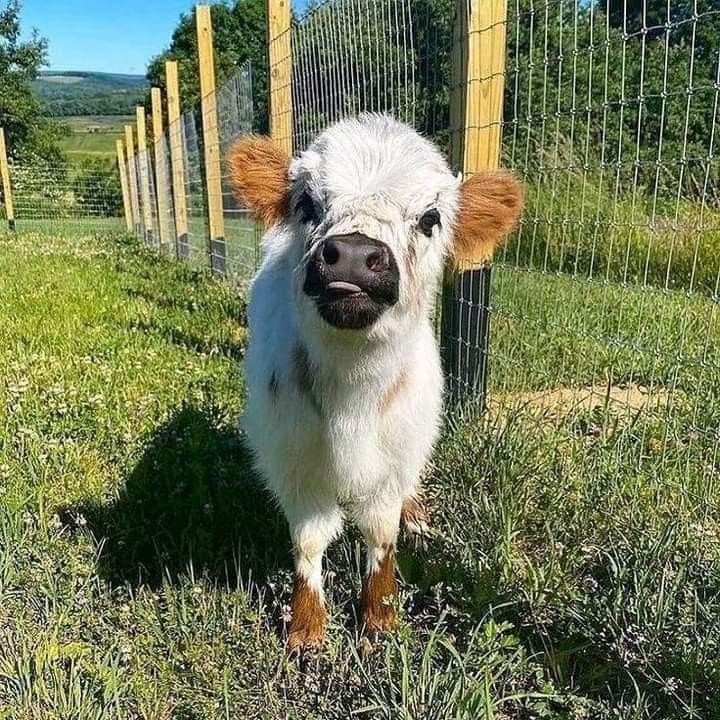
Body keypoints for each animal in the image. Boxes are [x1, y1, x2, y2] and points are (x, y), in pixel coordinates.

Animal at [228, 114, 520, 652]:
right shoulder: (293, 463)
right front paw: (307, 627)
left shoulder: (393, 462)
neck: (352, 397)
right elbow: (309, 541)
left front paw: (380, 617)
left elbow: (381, 535)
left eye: (430, 218)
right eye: (307, 203)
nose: (352, 255)